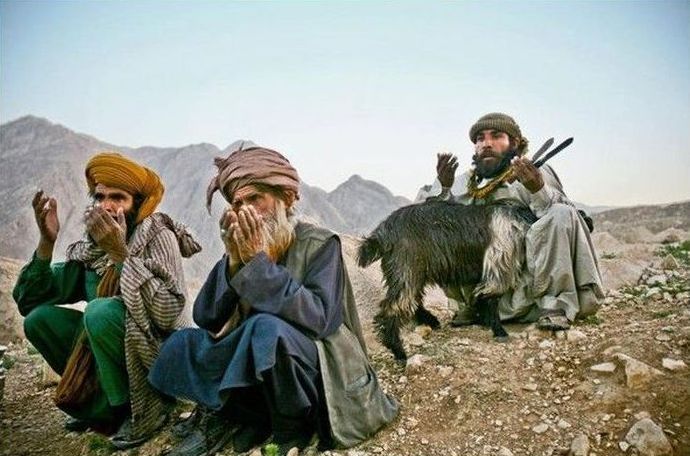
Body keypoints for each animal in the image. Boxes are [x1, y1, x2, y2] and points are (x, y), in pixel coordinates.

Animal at [358, 201, 536, 362]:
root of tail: (382, 234)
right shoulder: (499, 267)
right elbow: (491, 297)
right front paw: (499, 331)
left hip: (410, 272)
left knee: (412, 300)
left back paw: (431, 321)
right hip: (406, 269)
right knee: (395, 306)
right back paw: (399, 352)